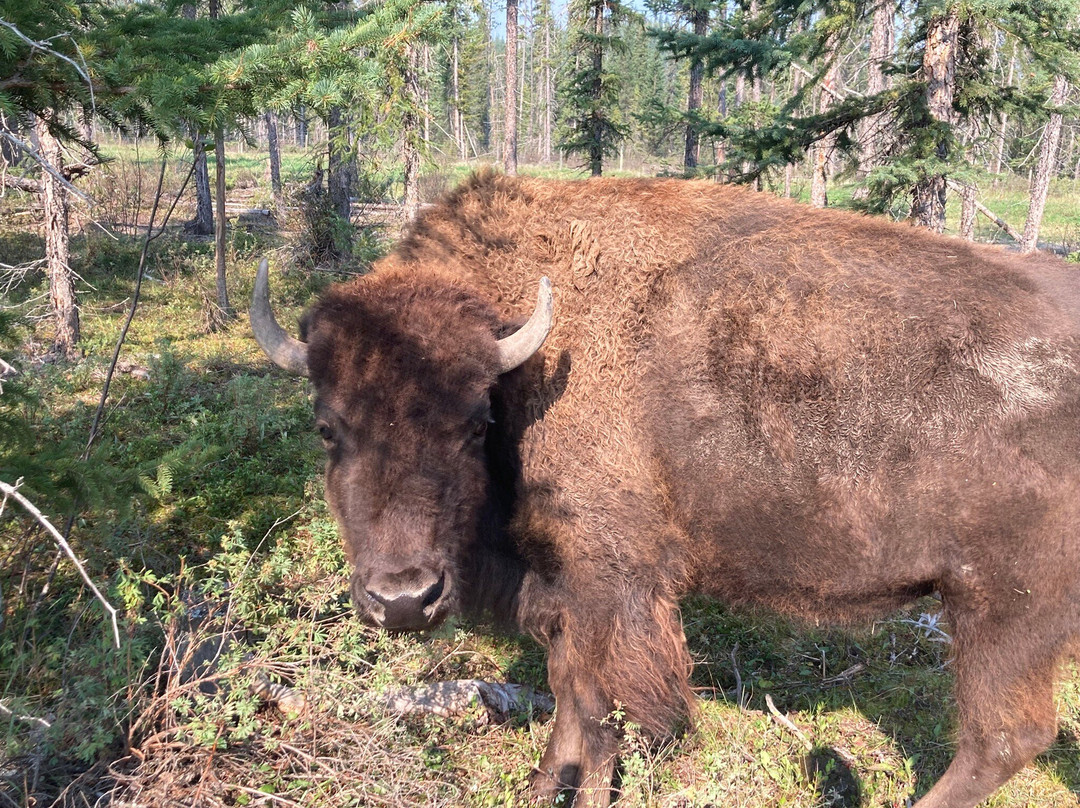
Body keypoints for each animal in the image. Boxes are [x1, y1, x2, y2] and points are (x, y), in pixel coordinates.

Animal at [251, 171, 1080, 807]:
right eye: (328, 427)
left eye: (474, 420)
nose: (402, 598)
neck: (529, 361)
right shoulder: (561, 589)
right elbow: (569, 692)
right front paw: (541, 784)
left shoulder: (610, 583)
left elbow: (601, 707)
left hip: (1000, 606)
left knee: (1005, 735)